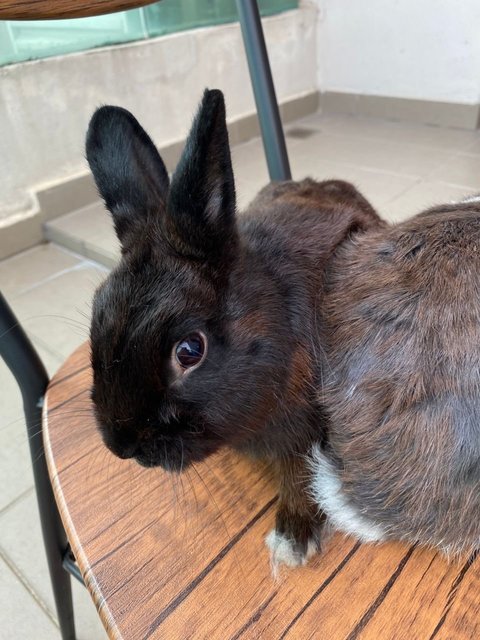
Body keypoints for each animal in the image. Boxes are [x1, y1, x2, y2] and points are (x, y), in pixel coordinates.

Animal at [85, 88, 383, 569]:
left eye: (190, 351)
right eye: (98, 313)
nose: (120, 445)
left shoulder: (306, 437)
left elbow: (301, 479)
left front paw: (293, 541)